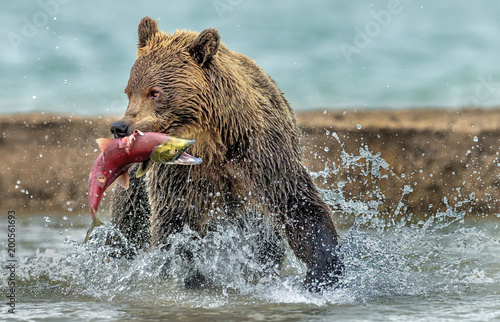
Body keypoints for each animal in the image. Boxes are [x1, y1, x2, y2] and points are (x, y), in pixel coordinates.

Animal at [109, 17, 344, 292]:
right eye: (129, 92)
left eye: (154, 92)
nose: (120, 127)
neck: (213, 141)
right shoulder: (180, 174)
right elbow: (175, 222)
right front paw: (188, 273)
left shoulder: (262, 155)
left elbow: (297, 203)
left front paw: (322, 272)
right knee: (127, 225)